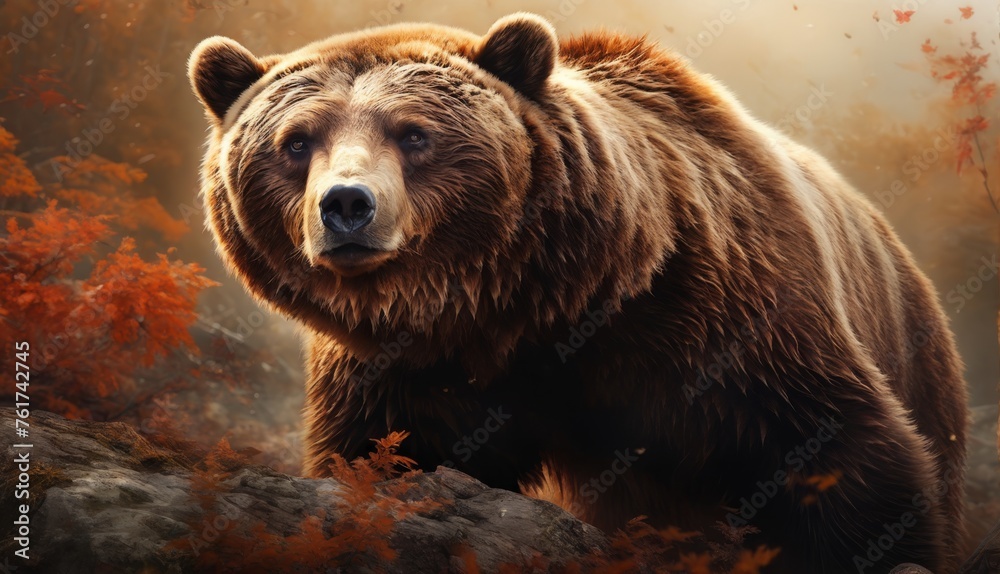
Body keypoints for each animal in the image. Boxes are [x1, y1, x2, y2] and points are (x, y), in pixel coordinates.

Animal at [189, 13, 968, 574]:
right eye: (296, 141)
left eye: (413, 133)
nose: (347, 205)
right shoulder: (403, 373)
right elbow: (382, 458)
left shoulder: (721, 319)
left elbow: (838, 451)